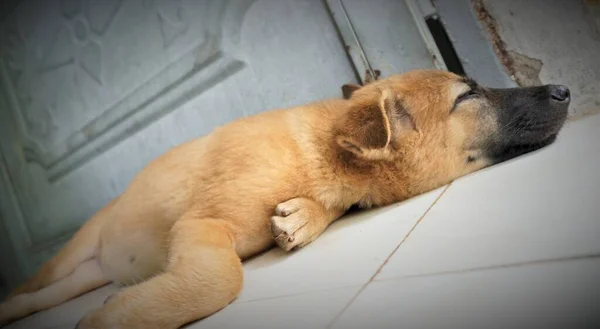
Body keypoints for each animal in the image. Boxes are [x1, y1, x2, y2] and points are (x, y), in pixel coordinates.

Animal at [0, 68, 572, 326]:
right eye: (468, 94)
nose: (564, 90)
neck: (320, 151)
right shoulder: (202, 224)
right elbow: (222, 278)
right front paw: (115, 318)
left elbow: (322, 210)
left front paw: (299, 218)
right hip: (67, 257)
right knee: (29, 289)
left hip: (79, 277)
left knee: (37, 299)